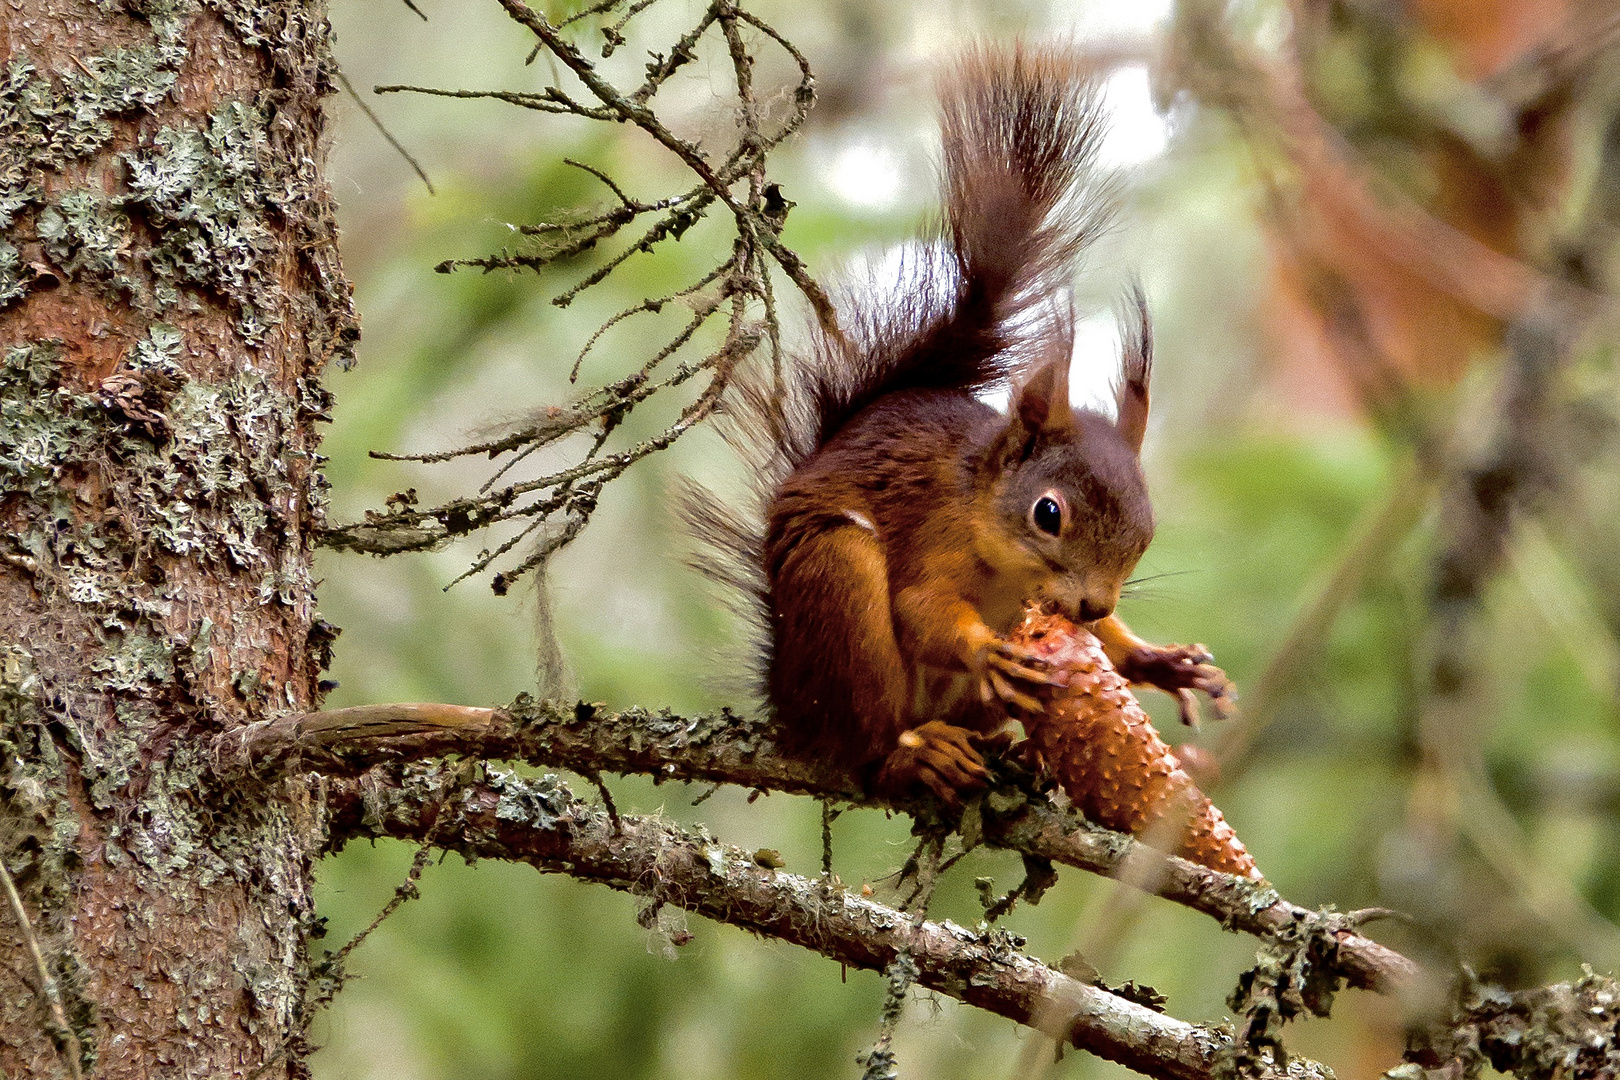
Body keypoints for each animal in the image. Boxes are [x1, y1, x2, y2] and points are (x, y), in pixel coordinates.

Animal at [690, 44, 1231, 803]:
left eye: (1146, 530)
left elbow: (1110, 647)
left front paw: (1158, 661)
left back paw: (1015, 752)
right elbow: (922, 610)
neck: (1006, 565)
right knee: (868, 744)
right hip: (836, 585)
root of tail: (791, 707)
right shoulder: (934, 537)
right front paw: (987, 650)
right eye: (1047, 513)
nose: (1091, 607)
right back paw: (916, 755)